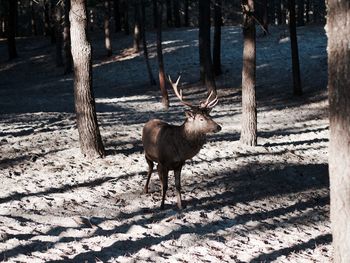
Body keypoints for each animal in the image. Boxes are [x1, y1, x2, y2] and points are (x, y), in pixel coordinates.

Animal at [140, 75, 220, 209]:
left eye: (210, 116)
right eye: (201, 119)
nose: (219, 127)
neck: (178, 151)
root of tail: (149, 121)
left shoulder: (179, 164)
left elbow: (178, 185)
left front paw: (180, 205)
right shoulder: (164, 162)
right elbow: (166, 185)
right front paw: (162, 205)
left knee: (157, 170)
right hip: (147, 153)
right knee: (151, 168)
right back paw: (145, 189)